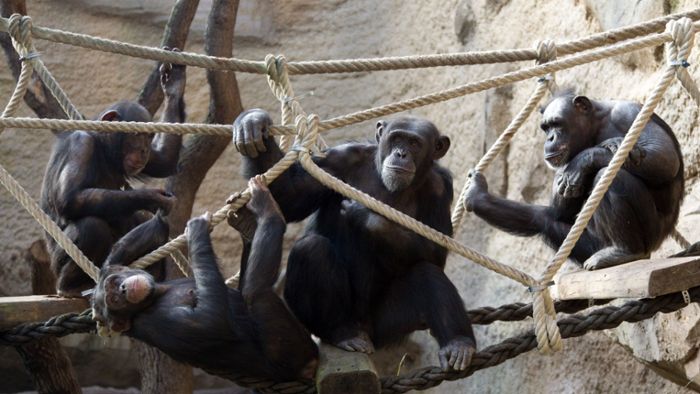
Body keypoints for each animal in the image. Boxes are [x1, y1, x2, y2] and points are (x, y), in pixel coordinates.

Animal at [41, 51, 186, 296]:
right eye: (137, 134)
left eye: (149, 136)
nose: (144, 149)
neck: (103, 147)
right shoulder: (81, 145)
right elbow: (70, 198)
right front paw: (152, 197)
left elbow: (164, 160)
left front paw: (174, 84)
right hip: (57, 264)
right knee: (91, 226)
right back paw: (72, 285)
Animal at [93, 177, 320, 384]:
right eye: (114, 301)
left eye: (114, 284)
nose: (122, 289)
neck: (158, 292)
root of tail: (309, 368)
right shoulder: (156, 323)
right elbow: (210, 321)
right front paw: (196, 229)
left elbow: (132, 247)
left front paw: (160, 206)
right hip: (288, 350)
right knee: (254, 293)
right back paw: (268, 209)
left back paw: (246, 223)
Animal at [235, 109, 476, 370]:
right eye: (396, 138)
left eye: (414, 143)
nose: (401, 154)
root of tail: (364, 331)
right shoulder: (339, 159)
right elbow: (289, 197)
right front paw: (253, 123)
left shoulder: (439, 187)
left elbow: (436, 250)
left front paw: (366, 216)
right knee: (312, 249)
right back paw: (341, 333)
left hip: (386, 326)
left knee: (428, 274)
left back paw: (458, 343)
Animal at [464, 91, 684, 270]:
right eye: (545, 127)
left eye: (557, 123)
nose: (549, 139)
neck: (595, 125)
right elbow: (559, 211)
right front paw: (478, 194)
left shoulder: (628, 113)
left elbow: (663, 156)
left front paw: (587, 158)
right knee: (544, 219)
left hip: (651, 233)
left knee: (610, 176)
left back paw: (625, 251)